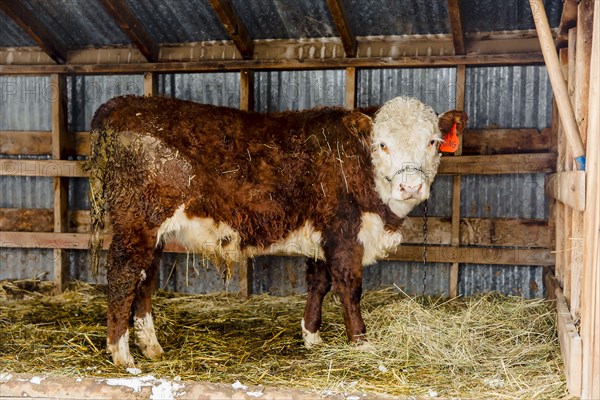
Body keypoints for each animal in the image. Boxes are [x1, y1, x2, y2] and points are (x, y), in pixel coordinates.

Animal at [86, 94, 466, 368]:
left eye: (433, 142)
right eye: (382, 144)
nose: (411, 186)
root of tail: (120, 105)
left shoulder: (323, 233)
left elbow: (319, 283)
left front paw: (312, 336)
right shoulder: (344, 231)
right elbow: (349, 287)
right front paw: (360, 341)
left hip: (153, 233)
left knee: (145, 280)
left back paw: (151, 347)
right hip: (137, 220)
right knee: (122, 276)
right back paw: (122, 355)